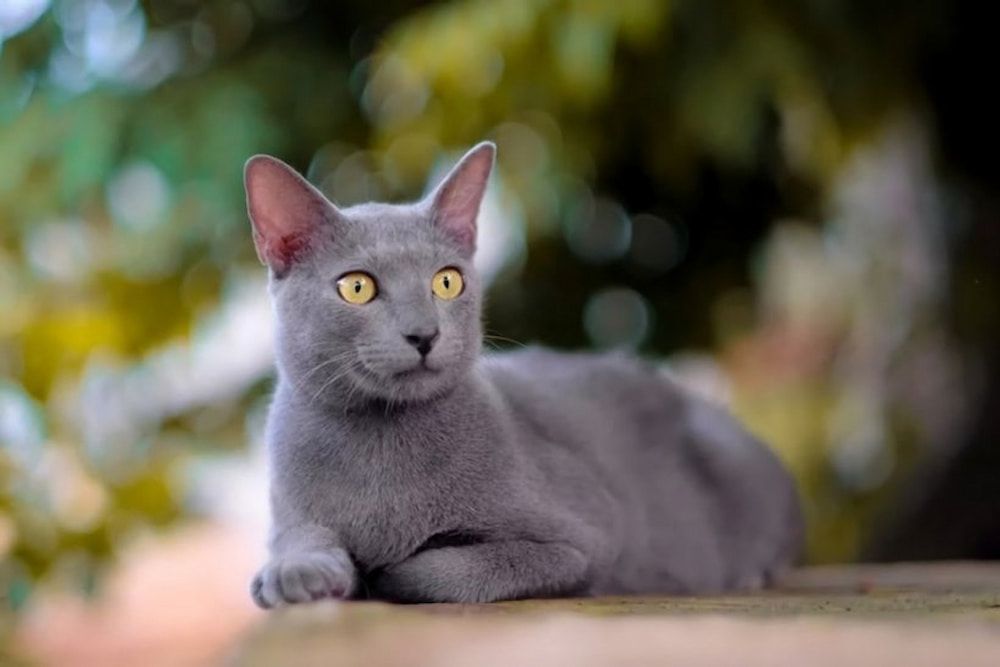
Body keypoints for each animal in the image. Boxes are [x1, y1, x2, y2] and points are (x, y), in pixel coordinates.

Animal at [244, 144, 804, 608]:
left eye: (446, 282)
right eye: (356, 287)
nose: (424, 334)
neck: (380, 449)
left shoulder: (586, 537)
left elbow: (447, 570)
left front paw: (382, 572)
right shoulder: (291, 510)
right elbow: (299, 537)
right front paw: (293, 573)